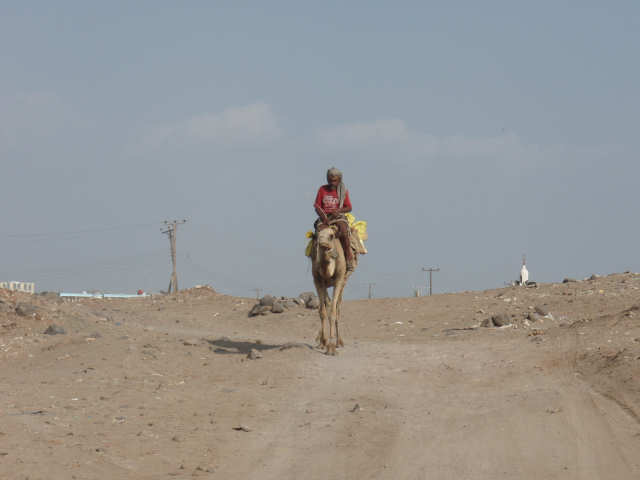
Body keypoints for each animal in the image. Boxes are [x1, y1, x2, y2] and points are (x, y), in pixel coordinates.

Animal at [312, 224, 358, 352]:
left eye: (331, 236)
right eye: (317, 236)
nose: (322, 243)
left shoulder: (338, 280)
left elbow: (333, 310)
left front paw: (331, 347)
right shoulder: (317, 281)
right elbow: (322, 311)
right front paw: (323, 342)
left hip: (344, 281)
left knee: (338, 307)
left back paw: (339, 342)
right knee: (327, 304)